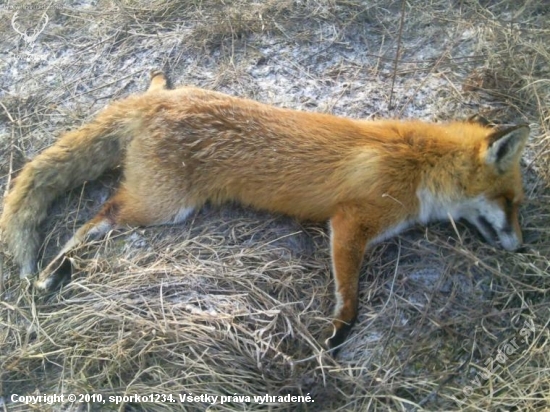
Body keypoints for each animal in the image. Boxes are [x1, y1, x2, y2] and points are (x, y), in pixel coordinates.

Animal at [2, 71, 532, 350]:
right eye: (511, 203)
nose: (523, 246)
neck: (419, 162)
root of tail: (156, 105)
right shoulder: (350, 223)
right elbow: (350, 297)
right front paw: (336, 333)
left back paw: (156, 80)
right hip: (163, 208)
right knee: (99, 214)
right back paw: (51, 270)